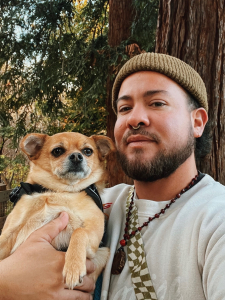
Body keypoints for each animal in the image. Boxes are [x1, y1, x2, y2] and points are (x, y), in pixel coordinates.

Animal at [0, 132, 115, 290]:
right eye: (57, 151)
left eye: (87, 151)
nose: (77, 156)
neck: (60, 191)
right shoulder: (9, 233)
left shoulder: (95, 236)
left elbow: (79, 232)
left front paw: (73, 267)